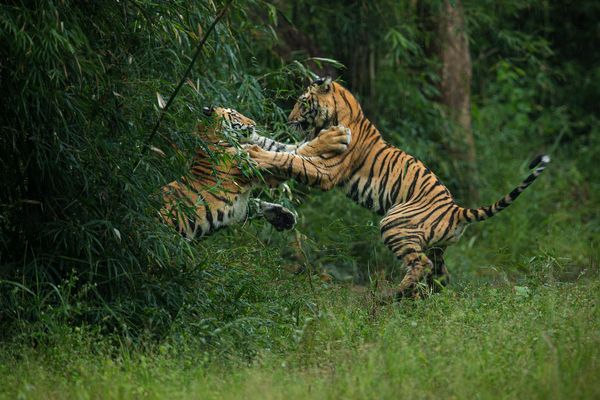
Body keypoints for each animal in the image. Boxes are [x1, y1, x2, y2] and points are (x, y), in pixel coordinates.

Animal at [162, 104, 354, 239]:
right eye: (235, 115)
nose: (253, 124)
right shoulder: (252, 166)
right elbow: (293, 155)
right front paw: (335, 136)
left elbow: (286, 150)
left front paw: (284, 217)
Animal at [246, 77, 552, 300]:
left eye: (302, 102)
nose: (289, 119)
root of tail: (456, 210)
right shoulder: (307, 149)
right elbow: (283, 150)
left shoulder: (325, 170)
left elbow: (288, 159)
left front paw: (254, 153)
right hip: (435, 247)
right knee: (441, 275)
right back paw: (423, 299)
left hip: (393, 223)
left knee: (421, 265)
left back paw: (392, 296)